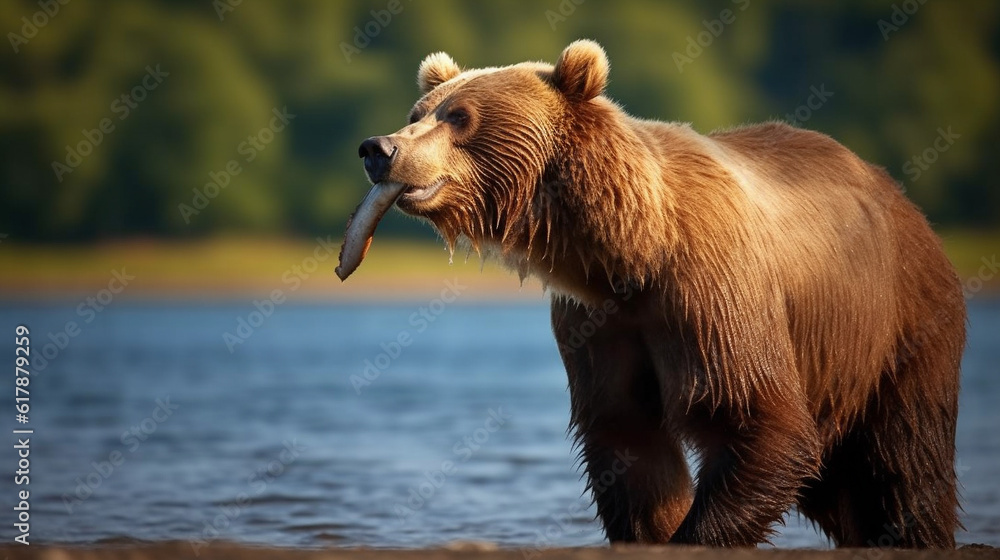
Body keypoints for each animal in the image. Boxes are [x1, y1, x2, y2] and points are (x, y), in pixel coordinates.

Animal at [339, 40, 966, 548]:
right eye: (417, 113)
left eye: (460, 116)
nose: (379, 148)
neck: (632, 252)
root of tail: (907, 204)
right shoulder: (598, 321)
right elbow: (628, 438)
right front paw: (654, 527)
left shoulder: (711, 295)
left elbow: (756, 420)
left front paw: (697, 534)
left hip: (897, 329)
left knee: (902, 462)